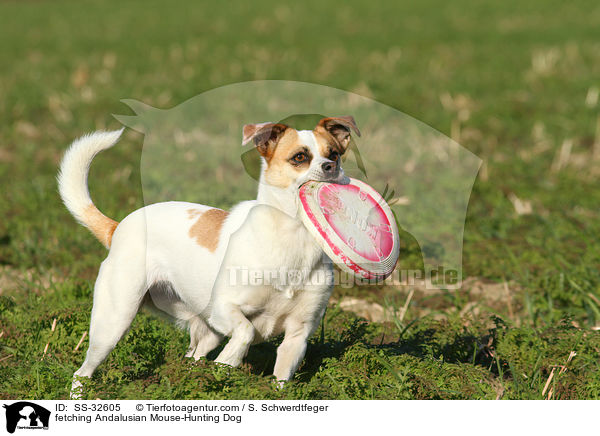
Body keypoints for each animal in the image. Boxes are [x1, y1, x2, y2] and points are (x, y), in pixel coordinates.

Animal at [59, 115, 360, 396]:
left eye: (334, 153)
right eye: (300, 157)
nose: (331, 167)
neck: (295, 238)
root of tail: (118, 227)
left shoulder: (298, 335)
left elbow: (281, 379)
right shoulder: (224, 309)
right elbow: (246, 331)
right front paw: (228, 362)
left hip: (203, 331)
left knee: (193, 356)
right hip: (114, 321)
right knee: (82, 372)